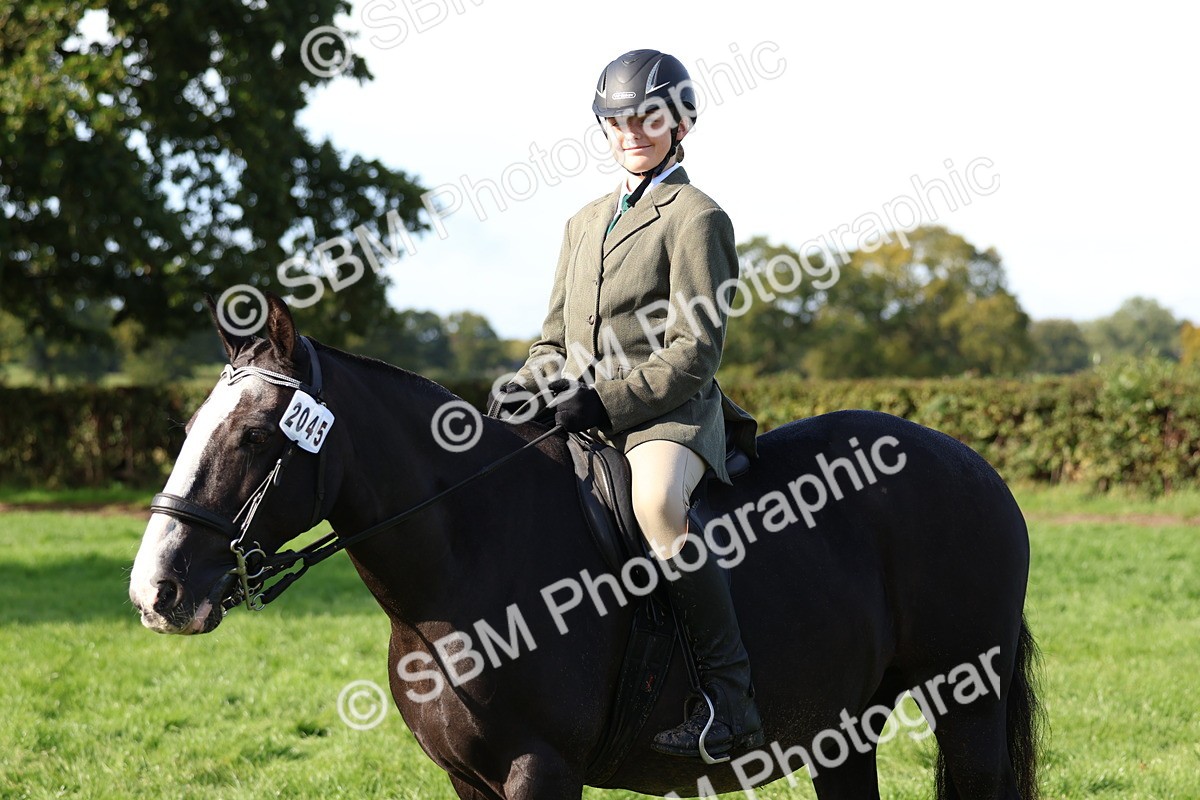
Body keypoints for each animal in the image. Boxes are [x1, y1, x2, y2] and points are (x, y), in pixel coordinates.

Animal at [129, 295, 1041, 799]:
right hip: (844, 724)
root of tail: (974, 465)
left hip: (966, 695)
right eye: (189, 424)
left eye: (254, 436)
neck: (464, 562)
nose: (156, 590)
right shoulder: (469, 780)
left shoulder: (541, 770)